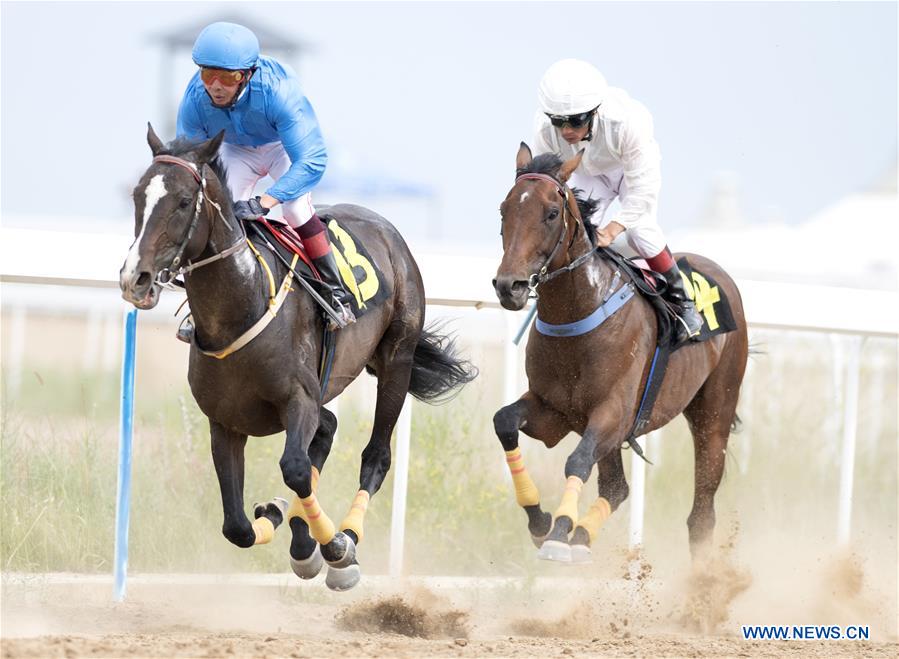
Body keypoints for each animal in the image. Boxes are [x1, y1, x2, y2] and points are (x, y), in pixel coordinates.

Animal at [119, 125, 476, 590]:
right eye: (137, 196)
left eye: (182, 201)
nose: (135, 278)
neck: (243, 306)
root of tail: (385, 228)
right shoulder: (225, 421)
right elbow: (237, 526)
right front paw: (278, 520)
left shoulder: (299, 400)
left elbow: (295, 468)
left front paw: (335, 548)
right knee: (326, 431)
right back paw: (296, 532)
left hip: (397, 360)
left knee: (374, 456)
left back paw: (344, 536)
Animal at [491, 144, 748, 563]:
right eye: (504, 209)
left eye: (551, 213)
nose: (508, 286)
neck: (578, 314)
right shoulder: (554, 410)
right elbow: (504, 422)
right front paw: (541, 520)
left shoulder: (614, 411)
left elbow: (578, 459)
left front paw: (559, 532)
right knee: (616, 487)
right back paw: (582, 536)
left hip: (715, 412)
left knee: (701, 514)